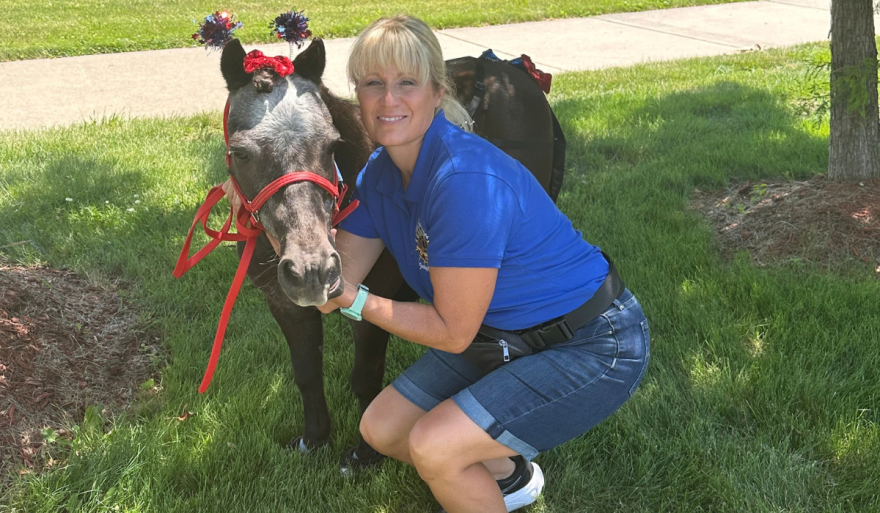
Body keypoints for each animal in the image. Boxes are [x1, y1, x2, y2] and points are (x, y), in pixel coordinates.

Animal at [216, 37, 564, 467]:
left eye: (331, 145)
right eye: (240, 152)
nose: (312, 269)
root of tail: (512, 71)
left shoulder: (372, 308)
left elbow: (366, 379)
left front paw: (366, 454)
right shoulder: (286, 307)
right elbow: (307, 374)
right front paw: (315, 439)